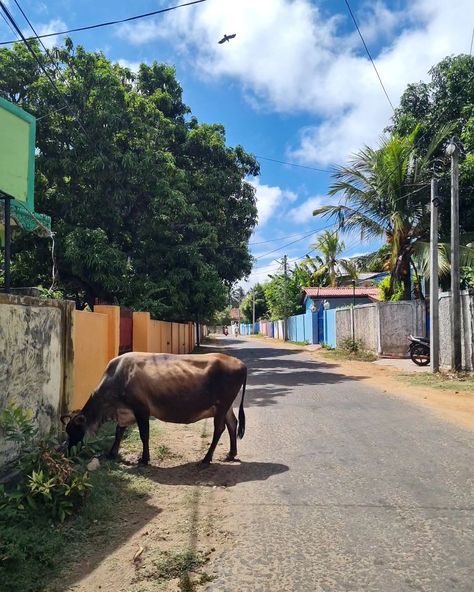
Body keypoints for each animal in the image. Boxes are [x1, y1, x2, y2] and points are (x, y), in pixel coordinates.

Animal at [62, 352, 246, 462]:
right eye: (67, 431)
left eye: (75, 430)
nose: (69, 453)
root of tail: (240, 363)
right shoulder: (124, 412)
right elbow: (118, 432)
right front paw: (112, 453)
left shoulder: (141, 409)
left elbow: (144, 435)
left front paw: (144, 459)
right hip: (226, 406)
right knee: (232, 424)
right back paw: (231, 454)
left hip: (222, 405)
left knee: (219, 429)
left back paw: (207, 458)